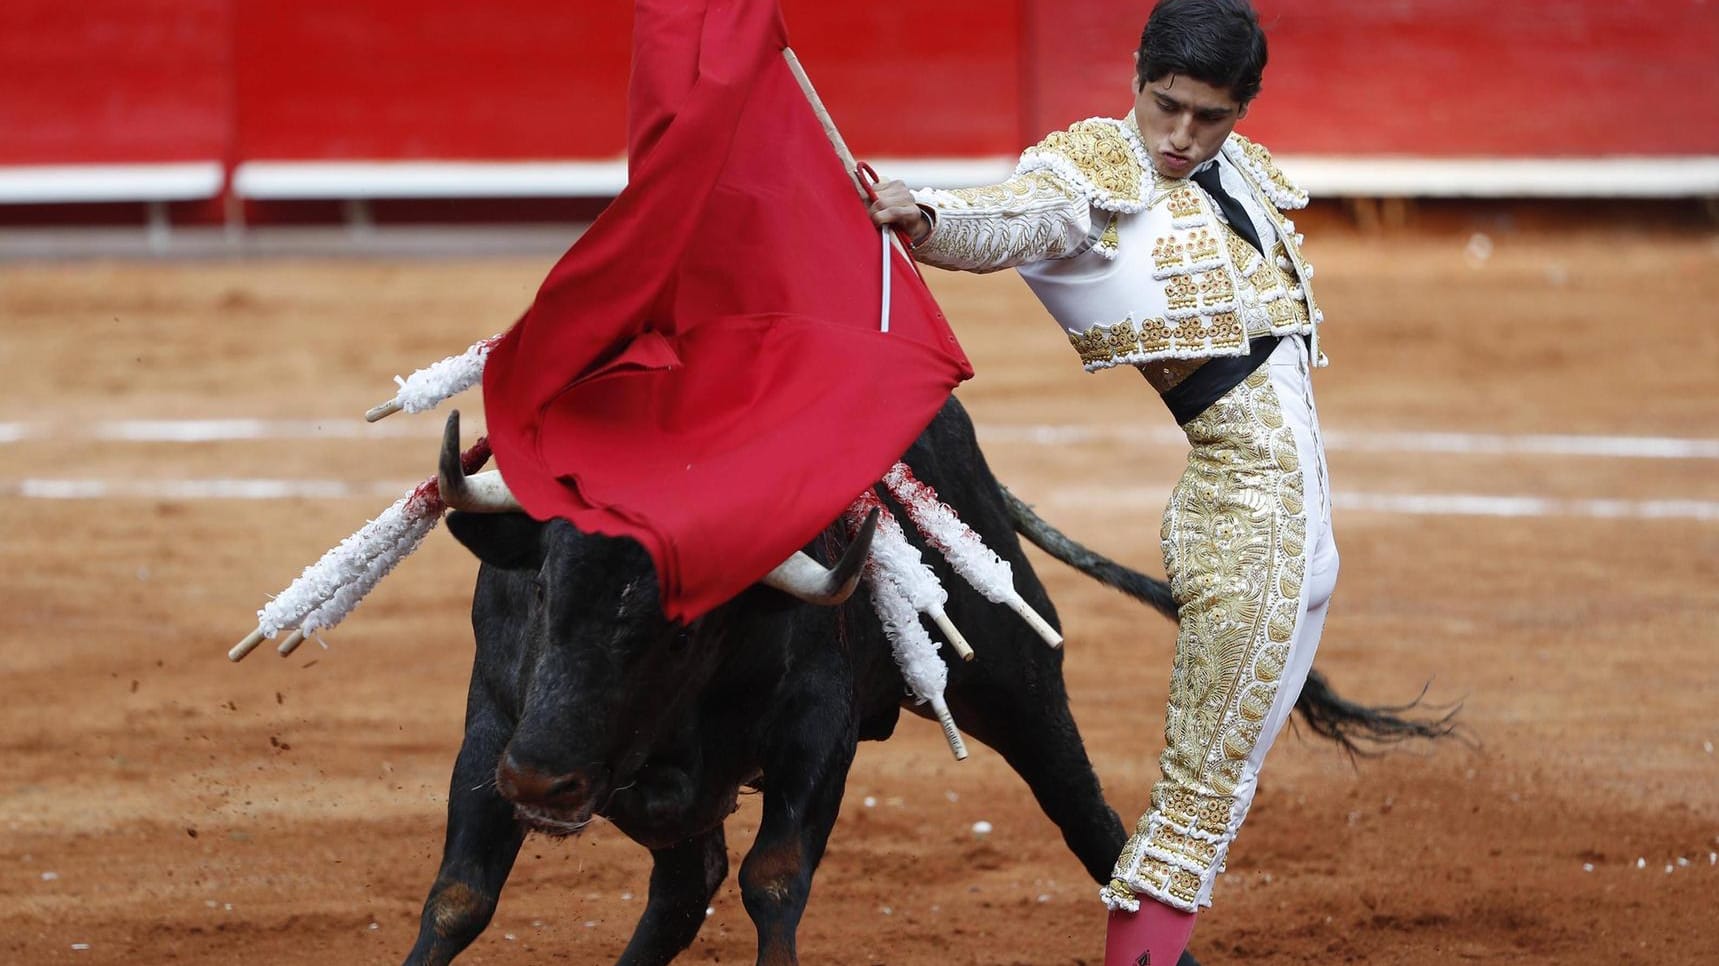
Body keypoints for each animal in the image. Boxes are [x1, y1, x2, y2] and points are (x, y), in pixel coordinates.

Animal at [398, 395, 1437, 955]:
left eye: (683, 632)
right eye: (540, 592)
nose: (544, 783)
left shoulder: (814, 737)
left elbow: (774, 881)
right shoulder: (493, 724)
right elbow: (459, 898)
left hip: (1020, 686)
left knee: (1099, 834)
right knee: (683, 883)